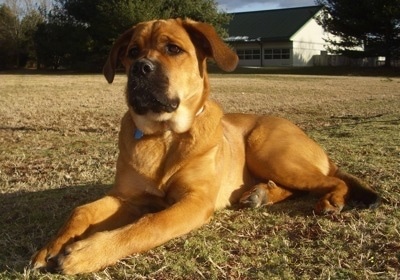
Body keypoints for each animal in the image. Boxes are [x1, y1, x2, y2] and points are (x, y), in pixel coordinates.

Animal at [29, 18, 380, 274]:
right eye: (131, 51)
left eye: (173, 48)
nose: (140, 68)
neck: (165, 136)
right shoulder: (127, 197)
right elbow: (82, 210)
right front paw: (51, 246)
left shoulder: (194, 201)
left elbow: (149, 225)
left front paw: (88, 251)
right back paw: (260, 194)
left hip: (268, 151)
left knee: (329, 181)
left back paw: (330, 200)